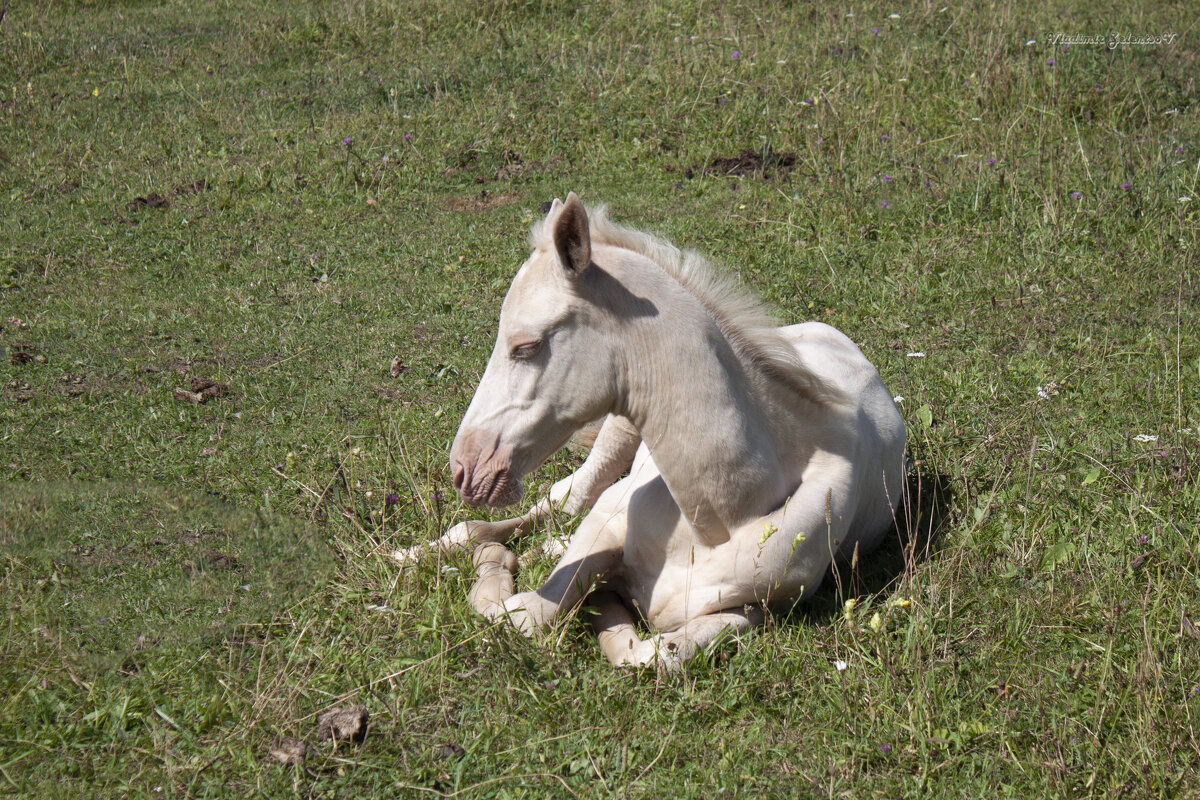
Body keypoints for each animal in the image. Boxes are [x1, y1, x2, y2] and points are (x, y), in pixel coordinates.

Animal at [398, 194, 902, 671]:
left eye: (526, 345)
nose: (465, 468)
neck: (717, 519)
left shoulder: (762, 609)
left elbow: (648, 653)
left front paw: (606, 606)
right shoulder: (605, 521)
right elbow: (525, 610)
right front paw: (503, 563)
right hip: (617, 435)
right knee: (558, 500)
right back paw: (412, 554)